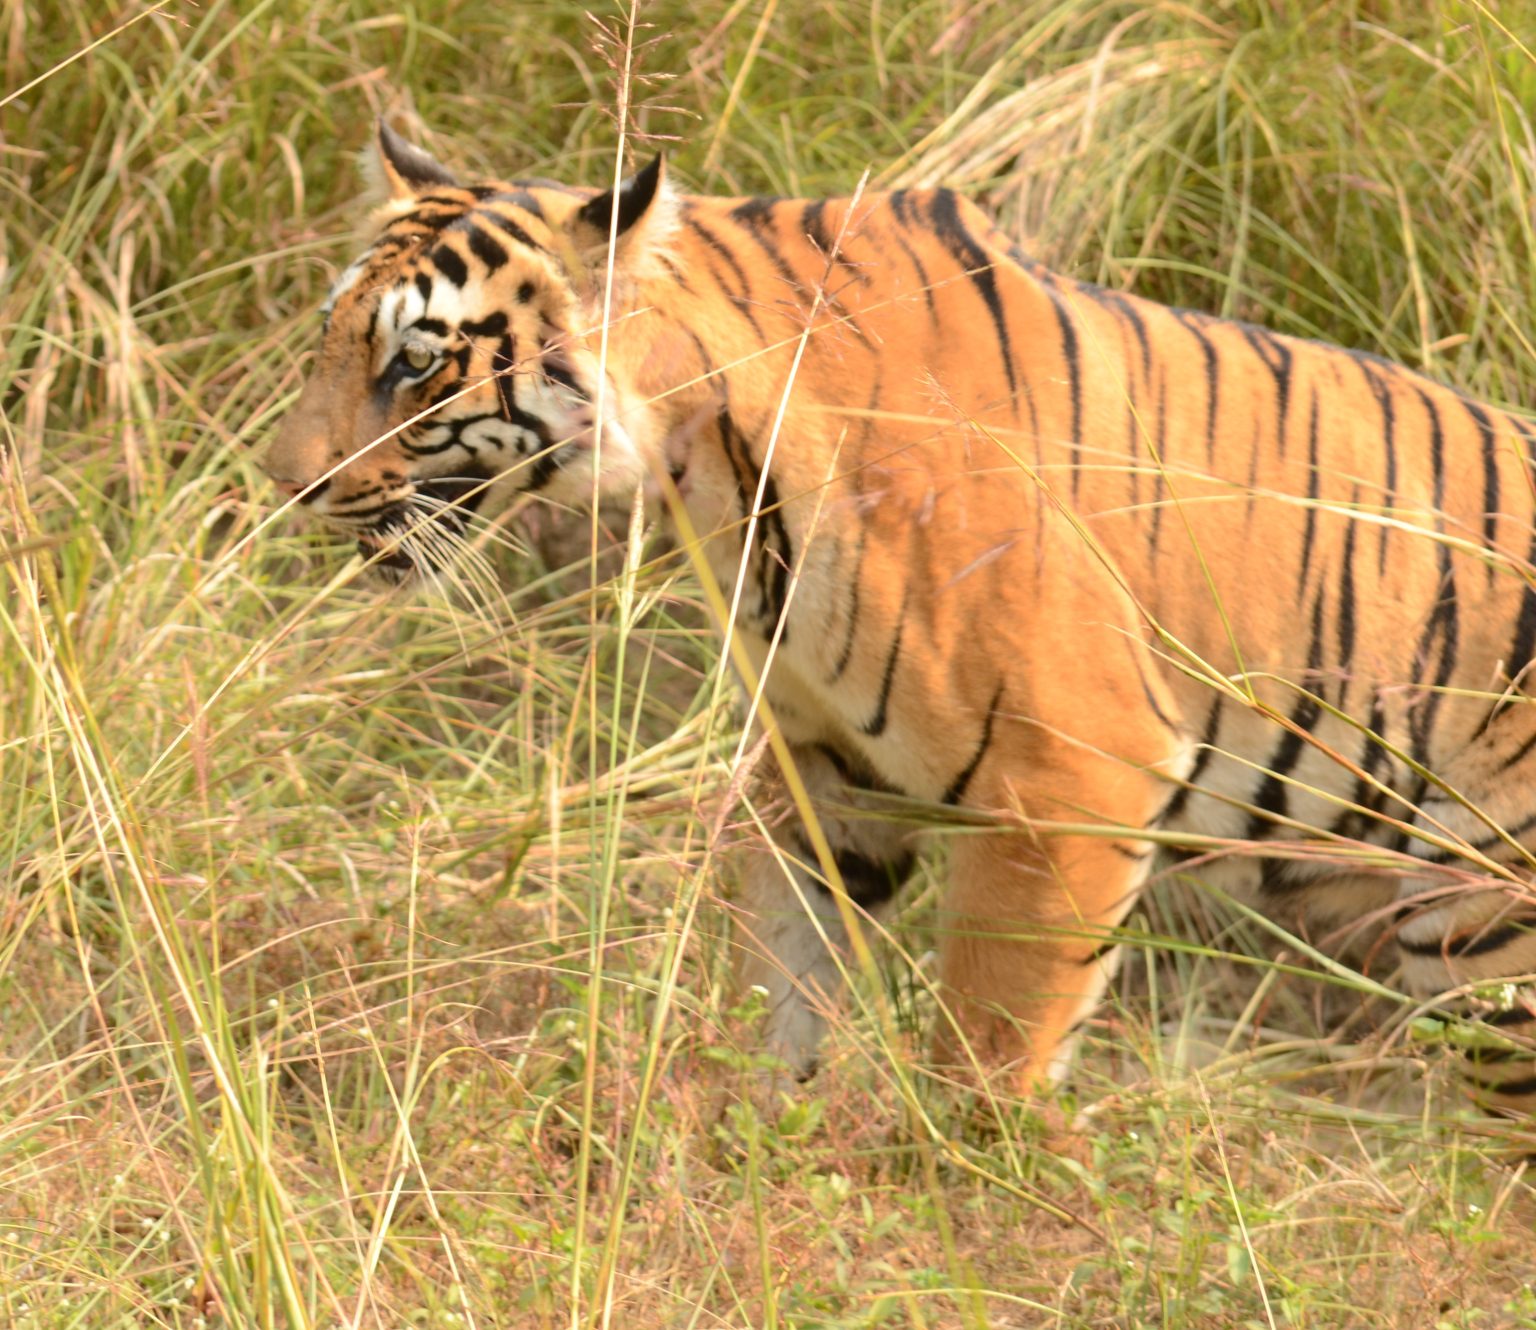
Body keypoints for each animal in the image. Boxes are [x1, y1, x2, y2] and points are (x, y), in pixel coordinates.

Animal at [264, 121, 1536, 1125]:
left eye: (416, 367)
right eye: (328, 342)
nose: (287, 486)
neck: (710, 474)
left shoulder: (1067, 780)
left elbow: (985, 1050)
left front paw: (974, 1202)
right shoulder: (825, 771)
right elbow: (784, 985)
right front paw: (753, 1143)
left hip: (1491, 945)